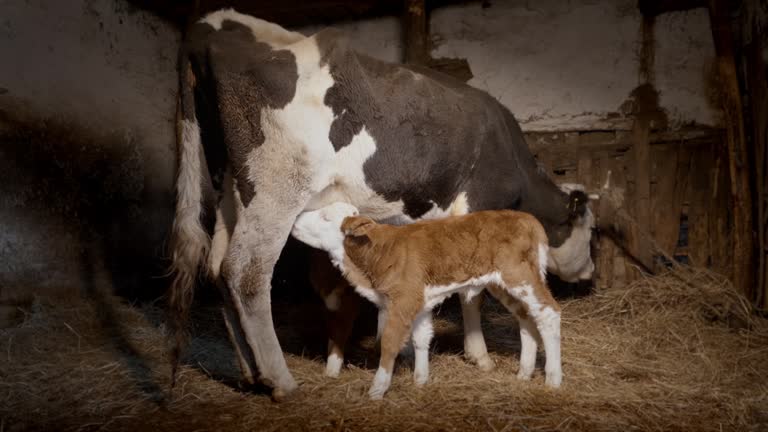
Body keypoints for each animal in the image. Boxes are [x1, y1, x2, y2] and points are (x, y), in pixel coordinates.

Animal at [292, 202, 560, 398]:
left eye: (325, 217)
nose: (295, 220)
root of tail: (527, 218)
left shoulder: (403, 300)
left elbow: (390, 342)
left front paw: (377, 389)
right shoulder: (420, 301)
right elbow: (421, 339)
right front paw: (420, 380)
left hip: (520, 275)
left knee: (549, 313)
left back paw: (553, 379)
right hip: (502, 284)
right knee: (527, 318)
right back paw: (524, 373)